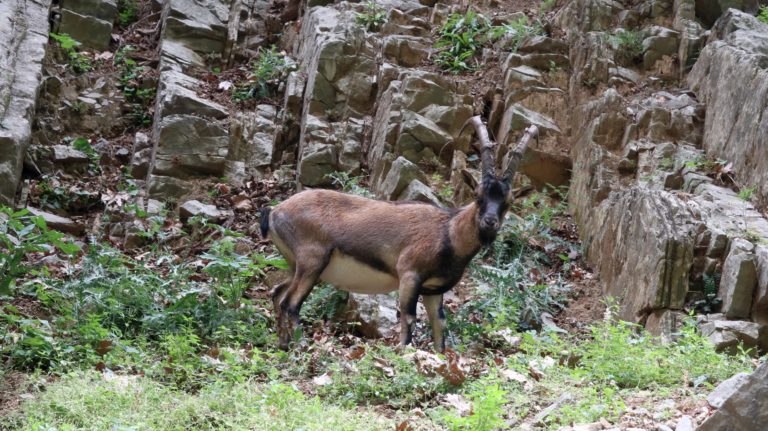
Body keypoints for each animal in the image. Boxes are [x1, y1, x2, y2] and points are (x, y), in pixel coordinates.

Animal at [260, 117, 536, 352]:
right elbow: (409, 318)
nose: (490, 222)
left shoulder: (433, 290)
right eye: (478, 197)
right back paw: (299, 346)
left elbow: (440, 326)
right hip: (312, 260)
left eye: (508, 202)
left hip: (295, 264)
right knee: (290, 303)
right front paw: (403, 355)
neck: (448, 234)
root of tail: (275, 211)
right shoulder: (410, 275)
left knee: (277, 294)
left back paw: (282, 345)